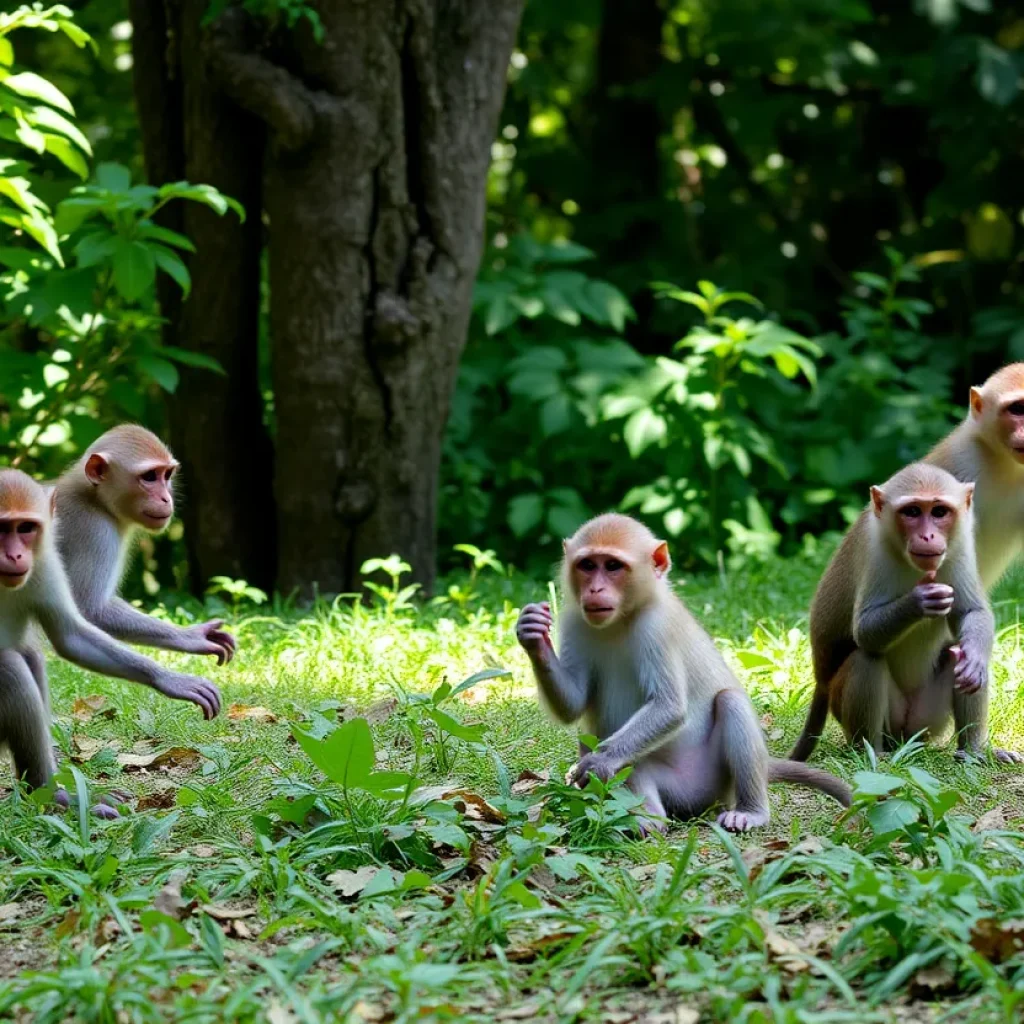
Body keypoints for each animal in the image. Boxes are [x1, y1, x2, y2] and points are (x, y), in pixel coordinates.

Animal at [0, 471, 221, 817]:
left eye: (25, 528)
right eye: (149, 478)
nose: (15, 555)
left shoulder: (44, 561)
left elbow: (72, 636)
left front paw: (177, 667)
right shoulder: (95, 534)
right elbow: (91, 611)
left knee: (29, 655)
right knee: (11, 668)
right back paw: (55, 799)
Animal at [53, 425, 236, 665]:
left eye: (166, 475)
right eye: (149, 477)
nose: (166, 498)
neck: (95, 498)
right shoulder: (96, 532)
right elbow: (90, 610)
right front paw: (188, 637)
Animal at [516, 513, 851, 834]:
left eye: (612, 566)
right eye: (587, 565)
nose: (595, 589)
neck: (624, 617)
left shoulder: (656, 628)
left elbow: (670, 707)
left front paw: (598, 761)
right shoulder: (574, 618)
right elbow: (574, 705)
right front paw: (533, 636)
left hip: (710, 783)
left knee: (729, 702)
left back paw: (749, 812)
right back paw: (647, 821)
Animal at [788, 463, 1015, 763]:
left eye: (939, 512)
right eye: (912, 512)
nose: (928, 536)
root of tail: (821, 682)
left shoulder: (960, 545)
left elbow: (971, 612)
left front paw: (974, 659)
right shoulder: (873, 552)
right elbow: (864, 631)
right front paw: (919, 601)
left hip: (927, 720)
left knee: (956, 654)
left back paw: (973, 752)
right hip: (872, 714)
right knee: (866, 658)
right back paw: (871, 751)